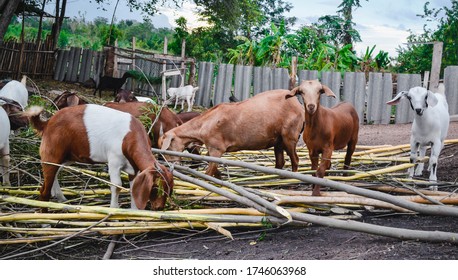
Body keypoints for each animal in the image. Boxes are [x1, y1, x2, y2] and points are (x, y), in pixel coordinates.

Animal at [26, 104, 174, 210]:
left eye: (169, 189)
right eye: (155, 187)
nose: (159, 208)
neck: (129, 136)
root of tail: (47, 123)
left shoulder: (134, 167)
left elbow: (133, 188)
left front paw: (135, 212)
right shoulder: (114, 161)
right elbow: (117, 185)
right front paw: (114, 210)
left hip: (66, 157)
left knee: (55, 173)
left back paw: (60, 197)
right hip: (51, 153)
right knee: (44, 189)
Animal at [157, 91, 304, 176]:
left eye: (168, 147)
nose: (170, 166)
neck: (205, 123)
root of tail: (299, 105)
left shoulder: (216, 149)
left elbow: (208, 172)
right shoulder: (211, 150)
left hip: (289, 135)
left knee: (295, 160)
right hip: (278, 139)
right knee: (280, 162)